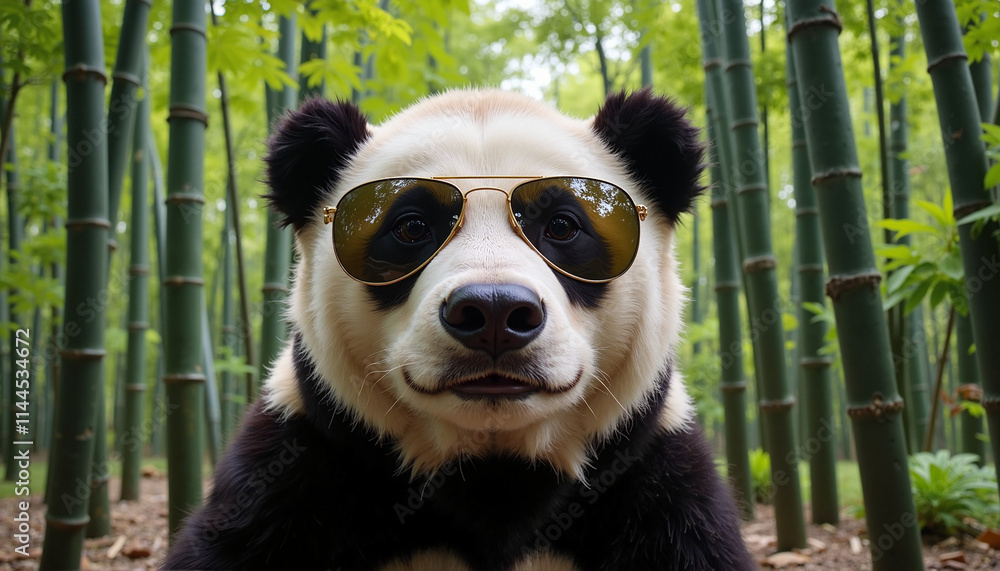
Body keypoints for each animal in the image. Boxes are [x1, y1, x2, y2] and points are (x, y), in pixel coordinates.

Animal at [163, 89, 754, 570]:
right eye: (411, 228)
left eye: (563, 226)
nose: (493, 312)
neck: (491, 467)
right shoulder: (297, 468)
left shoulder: (653, 475)